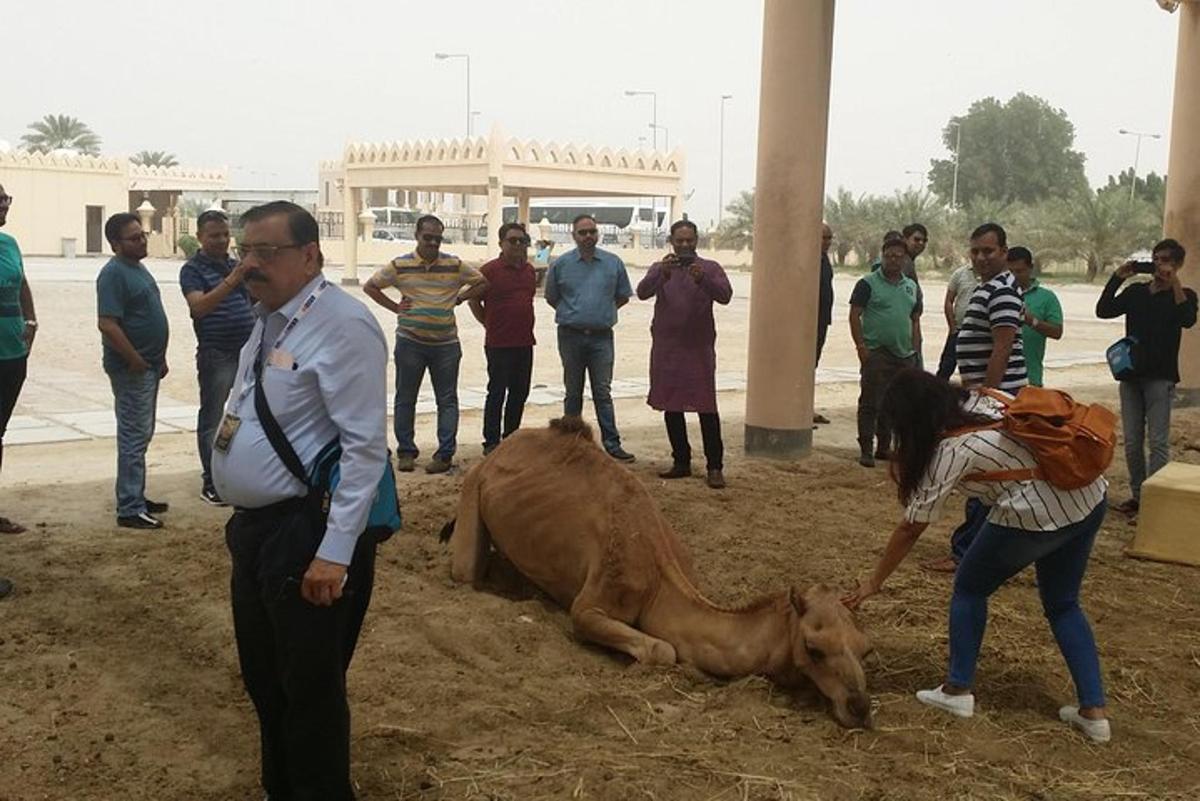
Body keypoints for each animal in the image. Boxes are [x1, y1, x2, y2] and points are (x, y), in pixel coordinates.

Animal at [441, 417, 873, 729]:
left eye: (865, 649)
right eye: (814, 648)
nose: (861, 706)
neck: (660, 580)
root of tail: (507, 443)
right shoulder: (591, 605)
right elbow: (663, 649)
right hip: (474, 488)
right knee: (465, 571)